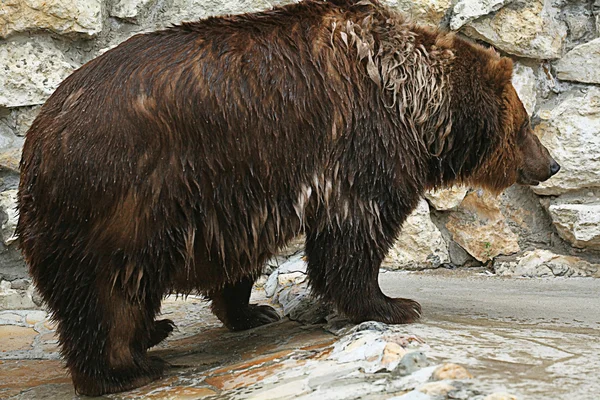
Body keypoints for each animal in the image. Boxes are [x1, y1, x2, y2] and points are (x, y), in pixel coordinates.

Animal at [16, 0, 560, 396]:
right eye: (524, 125)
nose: (551, 164)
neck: (411, 103)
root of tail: (38, 139)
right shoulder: (355, 145)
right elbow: (355, 234)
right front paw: (394, 303)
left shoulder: (241, 192)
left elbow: (240, 257)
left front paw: (253, 311)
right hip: (123, 201)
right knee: (109, 294)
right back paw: (125, 370)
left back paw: (156, 331)